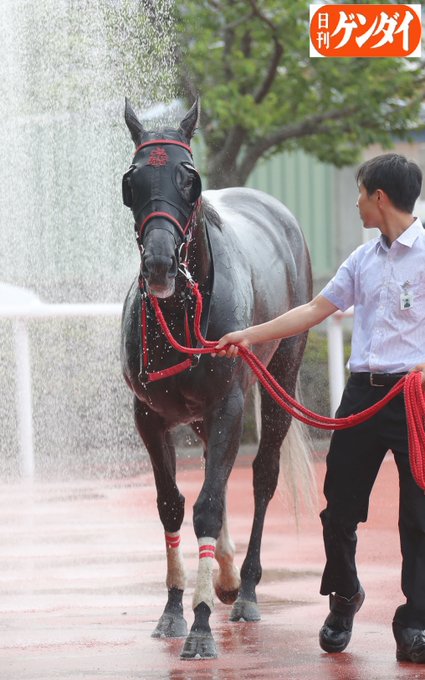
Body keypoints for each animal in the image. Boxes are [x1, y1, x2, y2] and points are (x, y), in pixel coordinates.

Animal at [120, 98, 313, 659]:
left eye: (190, 178)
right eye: (132, 181)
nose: (160, 264)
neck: (182, 312)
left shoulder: (228, 403)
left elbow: (206, 506)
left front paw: (202, 623)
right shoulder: (150, 415)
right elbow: (171, 505)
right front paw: (173, 609)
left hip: (280, 376)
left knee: (262, 476)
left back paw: (244, 588)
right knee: (216, 472)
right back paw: (225, 577)